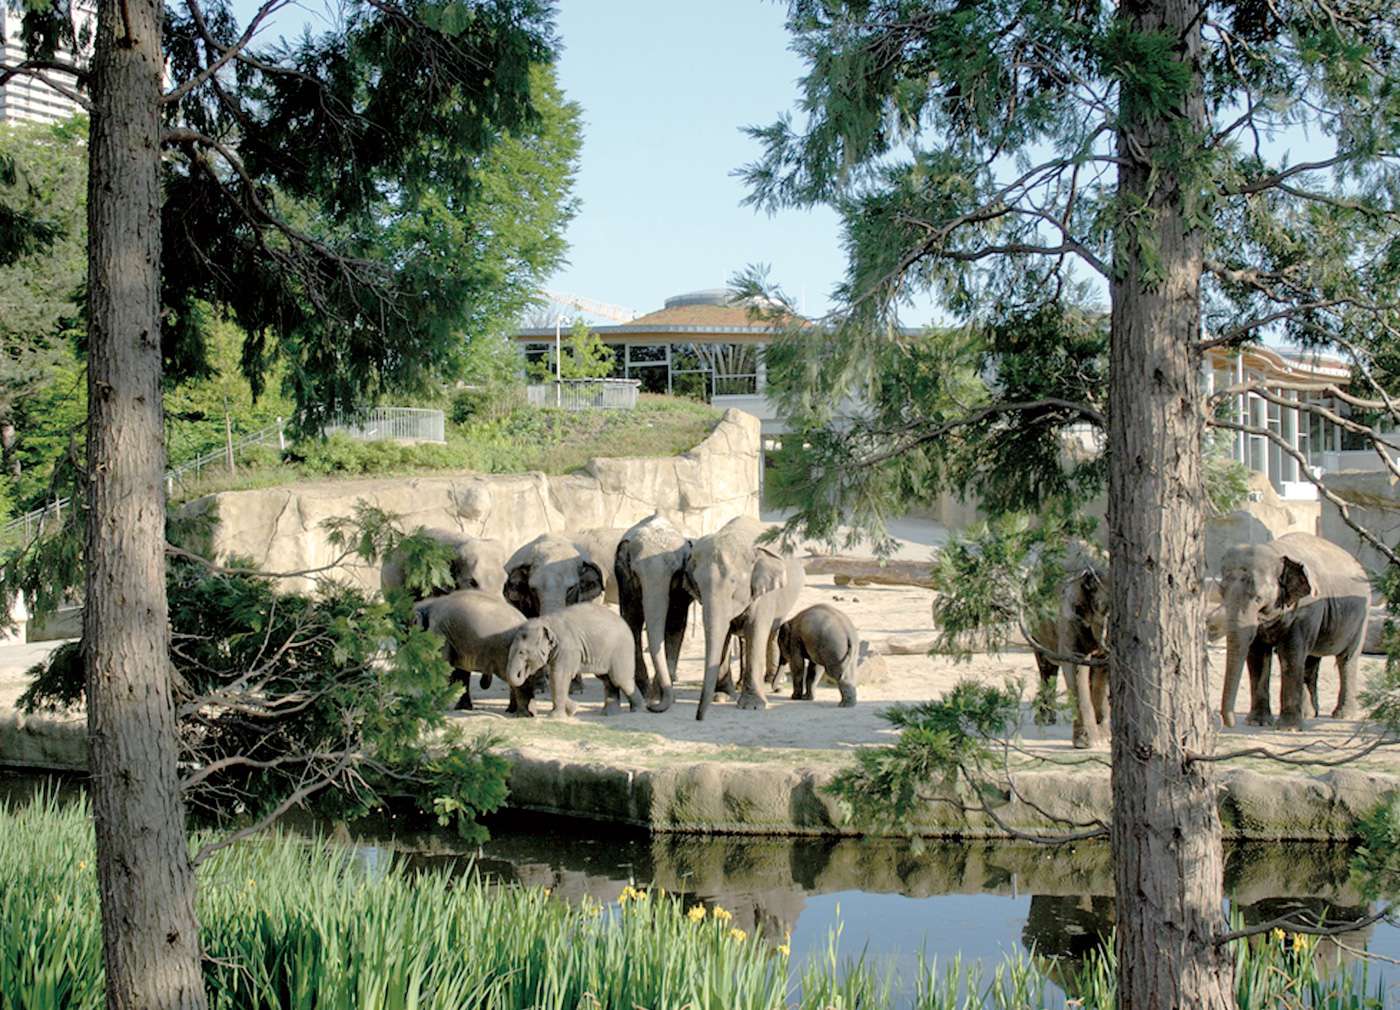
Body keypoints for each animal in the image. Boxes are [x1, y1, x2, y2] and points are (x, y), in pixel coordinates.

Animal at [506, 599, 646, 717]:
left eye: (522, 652)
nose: (522, 672)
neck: (546, 621)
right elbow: (555, 676)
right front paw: (572, 709)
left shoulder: (567, 647)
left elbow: (558, 675)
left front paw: (556, 716)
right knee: (607, 679)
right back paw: (608, 713)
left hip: (621, 651)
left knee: (621, 680)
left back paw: (638, 710)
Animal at [616, 515, 697, 714]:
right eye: (636, 573)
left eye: (676, 572)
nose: (652, 707)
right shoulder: (625, 580)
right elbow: (632, 622)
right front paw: (645, 694)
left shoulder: (682, 587)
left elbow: (675, 624)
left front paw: (658, 696)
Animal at [683, 521, 806, 717]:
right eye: (697, 585)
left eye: (733, 581)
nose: (698, 717)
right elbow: (723, 635)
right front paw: (721, 696)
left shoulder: (763, 594)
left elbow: (756, 632)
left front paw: (752, 705)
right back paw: (741, 685)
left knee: (771, 633)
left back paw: (771, 683)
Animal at [1215, 532, 1366, 728]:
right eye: (1221, 592)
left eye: (1258, 598)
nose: (1229, 723)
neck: (1275, 550)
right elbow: (1257, 655)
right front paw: (1258, 722)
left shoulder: (1306, 608)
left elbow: (1290, 653)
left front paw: (1289, 728)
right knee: (1310, 660)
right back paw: (1309, 714)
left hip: (1361, 617)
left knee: (1346, 659)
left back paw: (1343, 715)